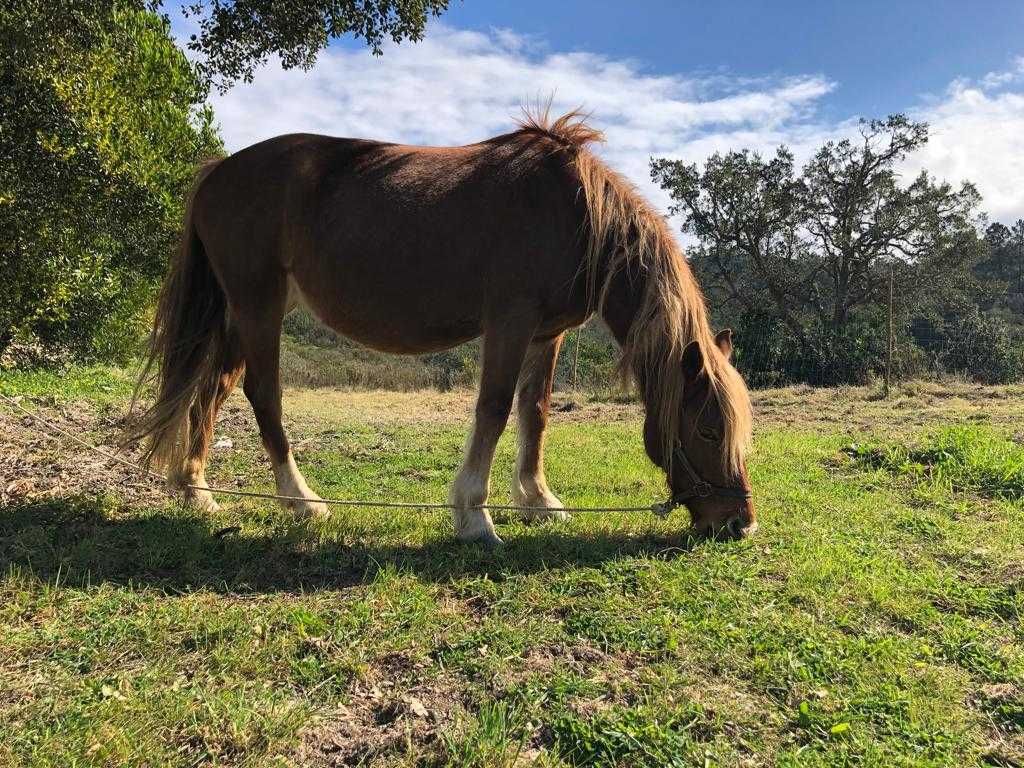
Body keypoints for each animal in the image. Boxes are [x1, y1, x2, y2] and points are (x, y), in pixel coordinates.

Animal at [125, 109, 753, 548]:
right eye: (707, 431)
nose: (739, 523)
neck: (573, 214)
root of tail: (217, 172)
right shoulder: (510, 321)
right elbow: (494, 409)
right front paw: (474, 516)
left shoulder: (546, 334)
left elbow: (534, 413)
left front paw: (538, 502)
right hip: (259, 307)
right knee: (263, 395)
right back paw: (300, 500)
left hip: (240, 314)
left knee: (210, 390)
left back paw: (197, 491)